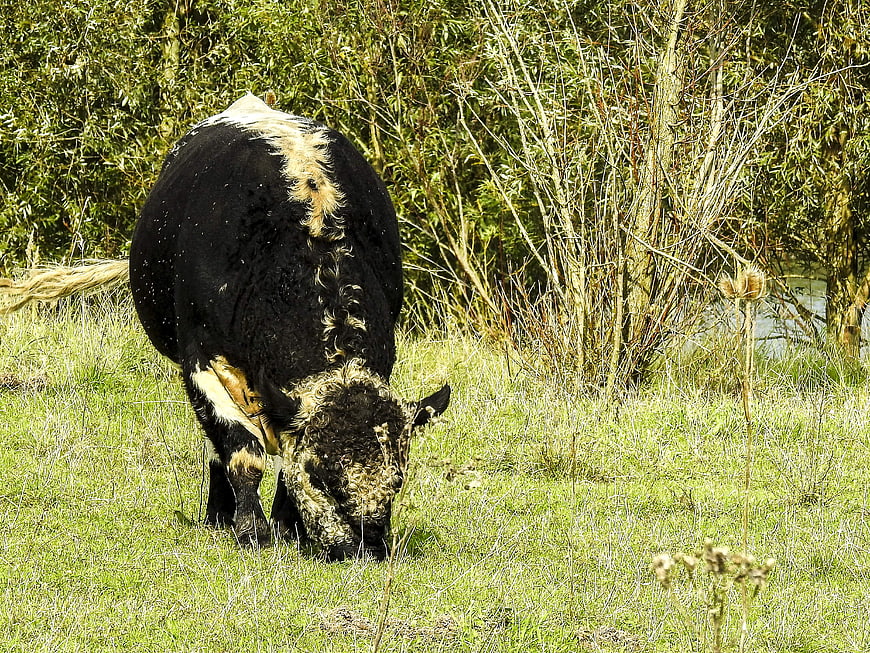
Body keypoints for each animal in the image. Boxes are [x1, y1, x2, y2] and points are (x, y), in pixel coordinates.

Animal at [127, 94, 450, 560]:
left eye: (398, 479)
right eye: (322, 475)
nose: (366, 547)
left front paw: (286, 524)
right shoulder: (202, 359)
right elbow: (242, 451)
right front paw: (252, 530)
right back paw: (219, 514)